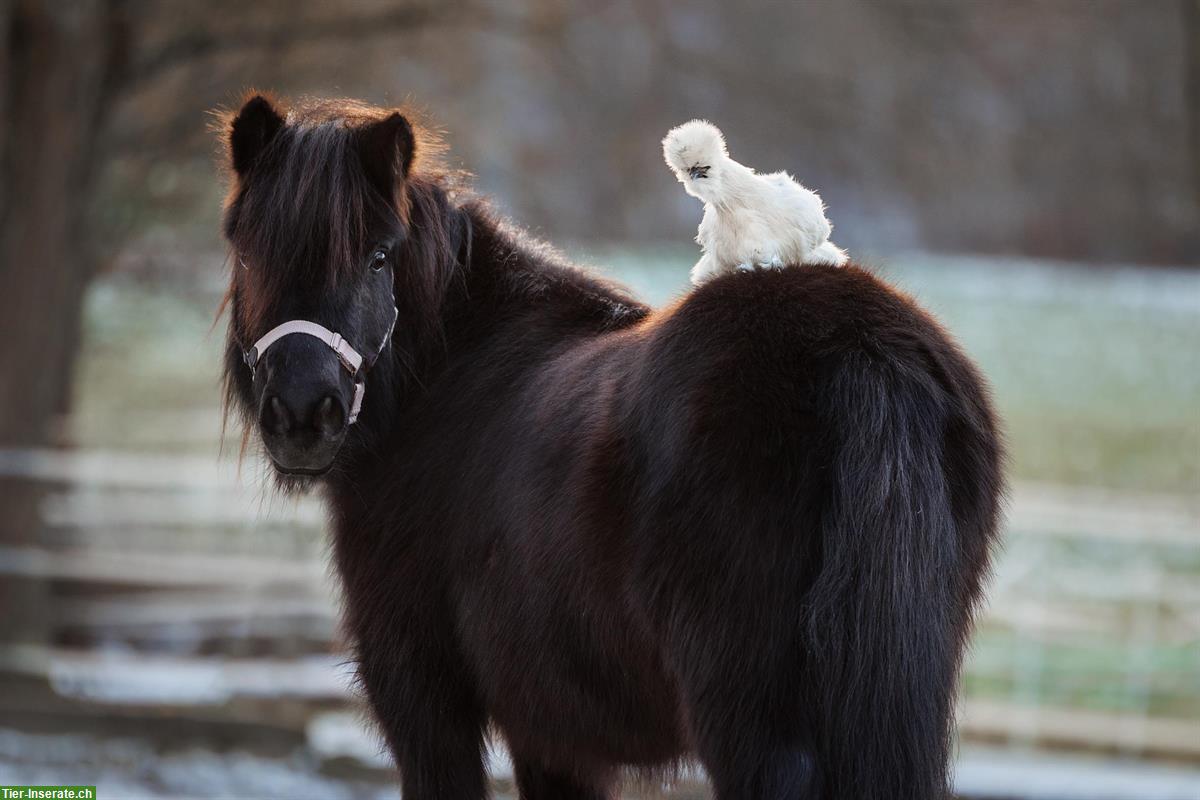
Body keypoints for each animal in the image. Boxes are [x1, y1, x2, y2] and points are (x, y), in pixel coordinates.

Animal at [216, 95, 1003, 800]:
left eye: (379, 257)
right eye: (248, 251)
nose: (302, 414)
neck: (449, 378)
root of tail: (863, 351)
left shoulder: (428, 704)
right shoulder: (555, 732)